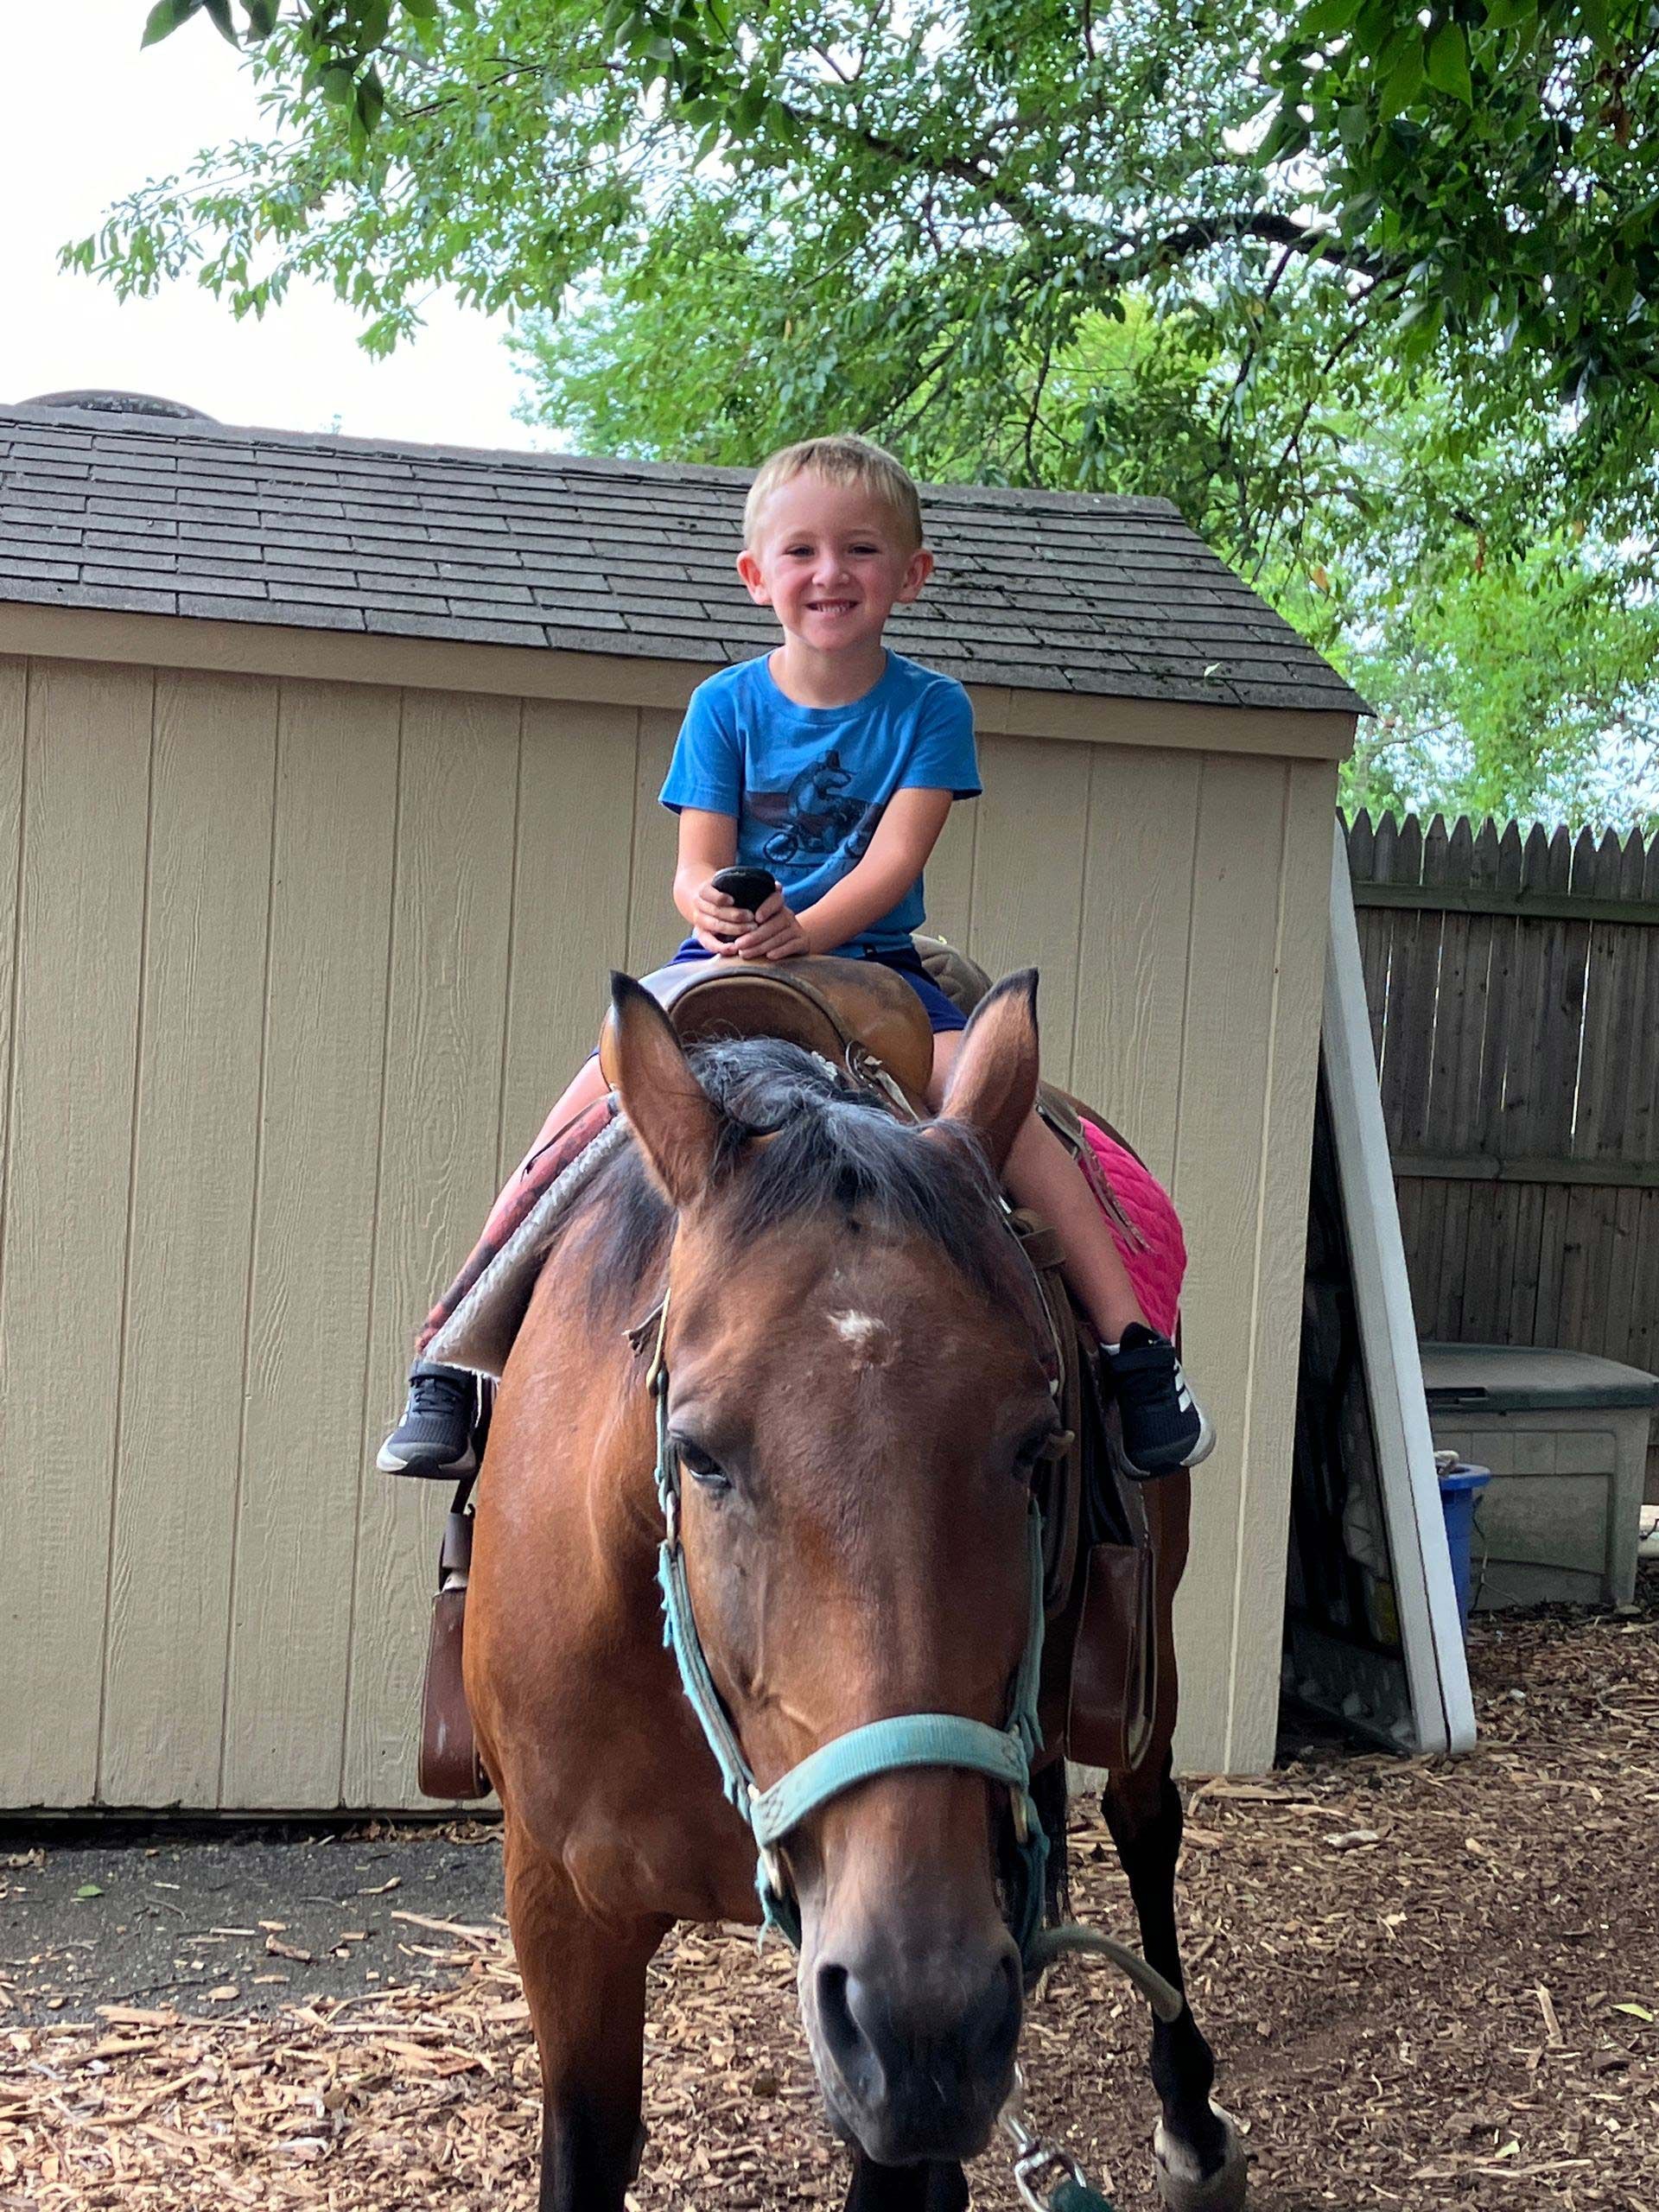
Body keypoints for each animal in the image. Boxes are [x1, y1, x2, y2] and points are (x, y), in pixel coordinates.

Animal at [462, 973, 1238, 2212]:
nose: (929, 2019)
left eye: (1037, 1446)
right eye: (699, 1454)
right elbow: (586, 2145)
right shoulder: (560, 1908)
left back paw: (1192, 2119)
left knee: (1144, 1816)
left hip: (1140, 1656)